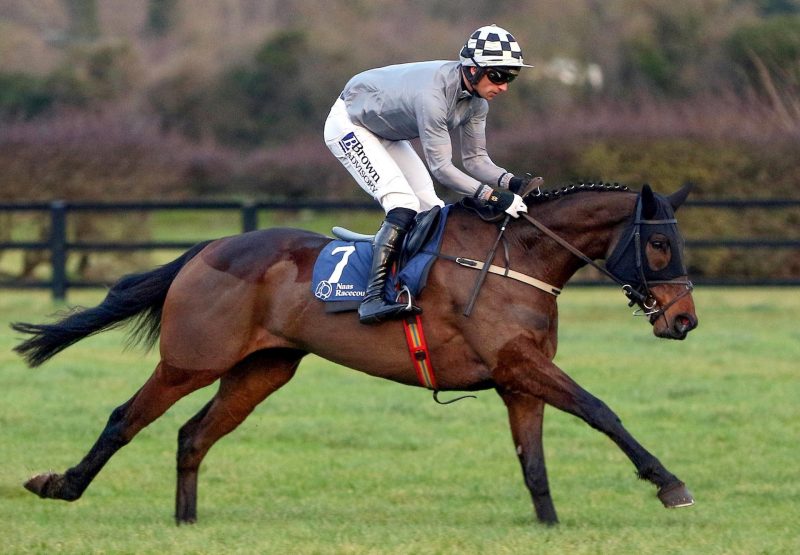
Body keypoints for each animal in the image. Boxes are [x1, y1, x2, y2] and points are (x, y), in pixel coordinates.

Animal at [10, 182, 692, 524]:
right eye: (659, 245)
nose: (684, 319)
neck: (513, 260)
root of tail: (208, 248)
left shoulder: (517, 380)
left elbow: (534, 463)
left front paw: (549, 528)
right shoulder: (520, 365)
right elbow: (601, 410)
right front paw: (669, 483)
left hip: (262, 370)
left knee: (193, 435)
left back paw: (187, 525)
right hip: (191, 360)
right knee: (124, 418)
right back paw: (61, 485)